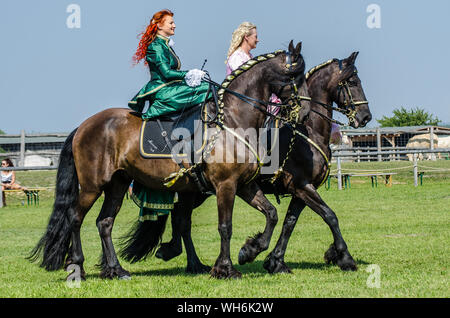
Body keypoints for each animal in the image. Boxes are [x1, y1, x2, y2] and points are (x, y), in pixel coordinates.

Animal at [146, 51, 370, 274]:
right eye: (352, 82)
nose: (365, 117)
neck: (307, 131)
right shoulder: (302, 186)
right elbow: (330, 216)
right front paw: (345, 257)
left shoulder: (302, 190)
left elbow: (290, 222)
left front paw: (275, 260)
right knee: (181, 219)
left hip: (197, 190)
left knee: (180, 218)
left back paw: (184, 258)